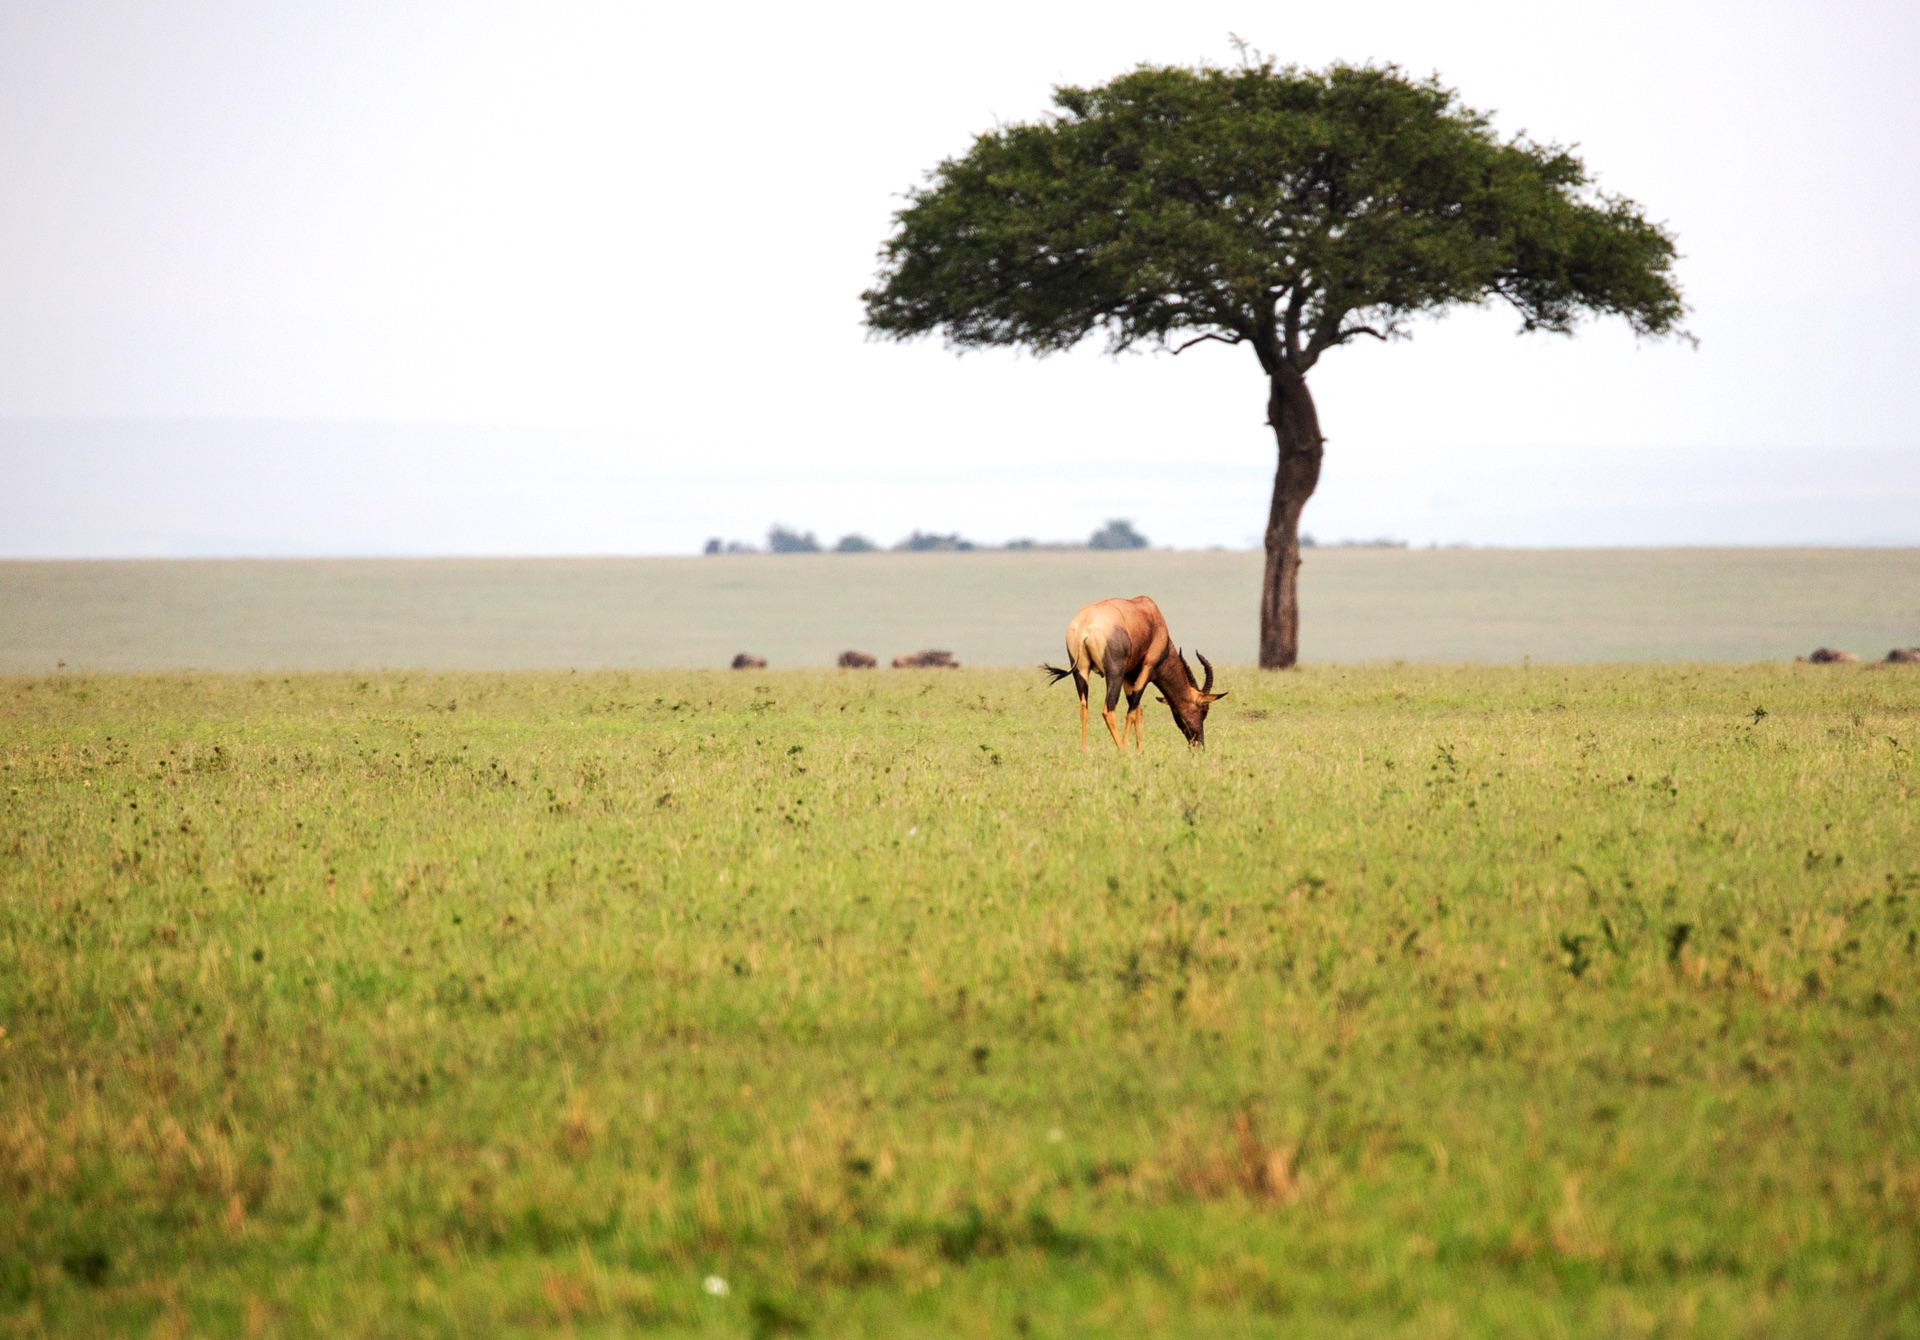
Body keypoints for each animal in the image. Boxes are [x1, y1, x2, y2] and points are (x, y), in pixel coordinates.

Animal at [1044, 591, 1221, 744]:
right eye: (1203, 709)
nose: (1198, 744)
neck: (1150, 613)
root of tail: (1085, 625)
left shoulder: (1128, 676)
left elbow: (1137, 711)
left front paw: (1140, 751)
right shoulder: (1147, 668)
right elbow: (1133, 709)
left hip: (1080, 671)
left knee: (1083, 708)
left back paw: (1084, 751)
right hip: (1114, 673)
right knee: (1108, 711)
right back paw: (1122, 750)